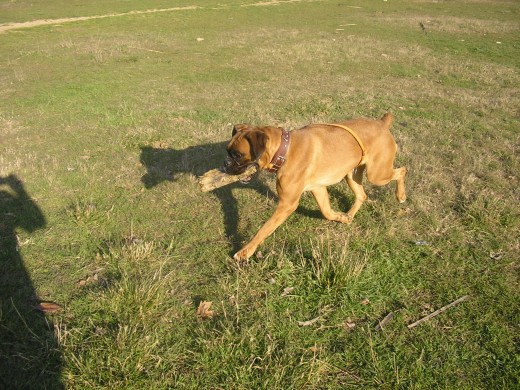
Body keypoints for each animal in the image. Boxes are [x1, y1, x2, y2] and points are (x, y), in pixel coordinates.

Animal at [225, 112, 408, 262]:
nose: (226, 164)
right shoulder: (318, 188)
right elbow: (326, 212)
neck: (284, 150)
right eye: (228, 152)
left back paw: (401, 196)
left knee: (402, 171)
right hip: (352, 175)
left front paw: (245, 251)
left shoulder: (287, 205)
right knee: (362, 195)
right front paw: (340, 217)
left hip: (377, 174)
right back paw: (349, 215)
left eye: (238, 155)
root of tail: (382, 123)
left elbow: (264, 229)